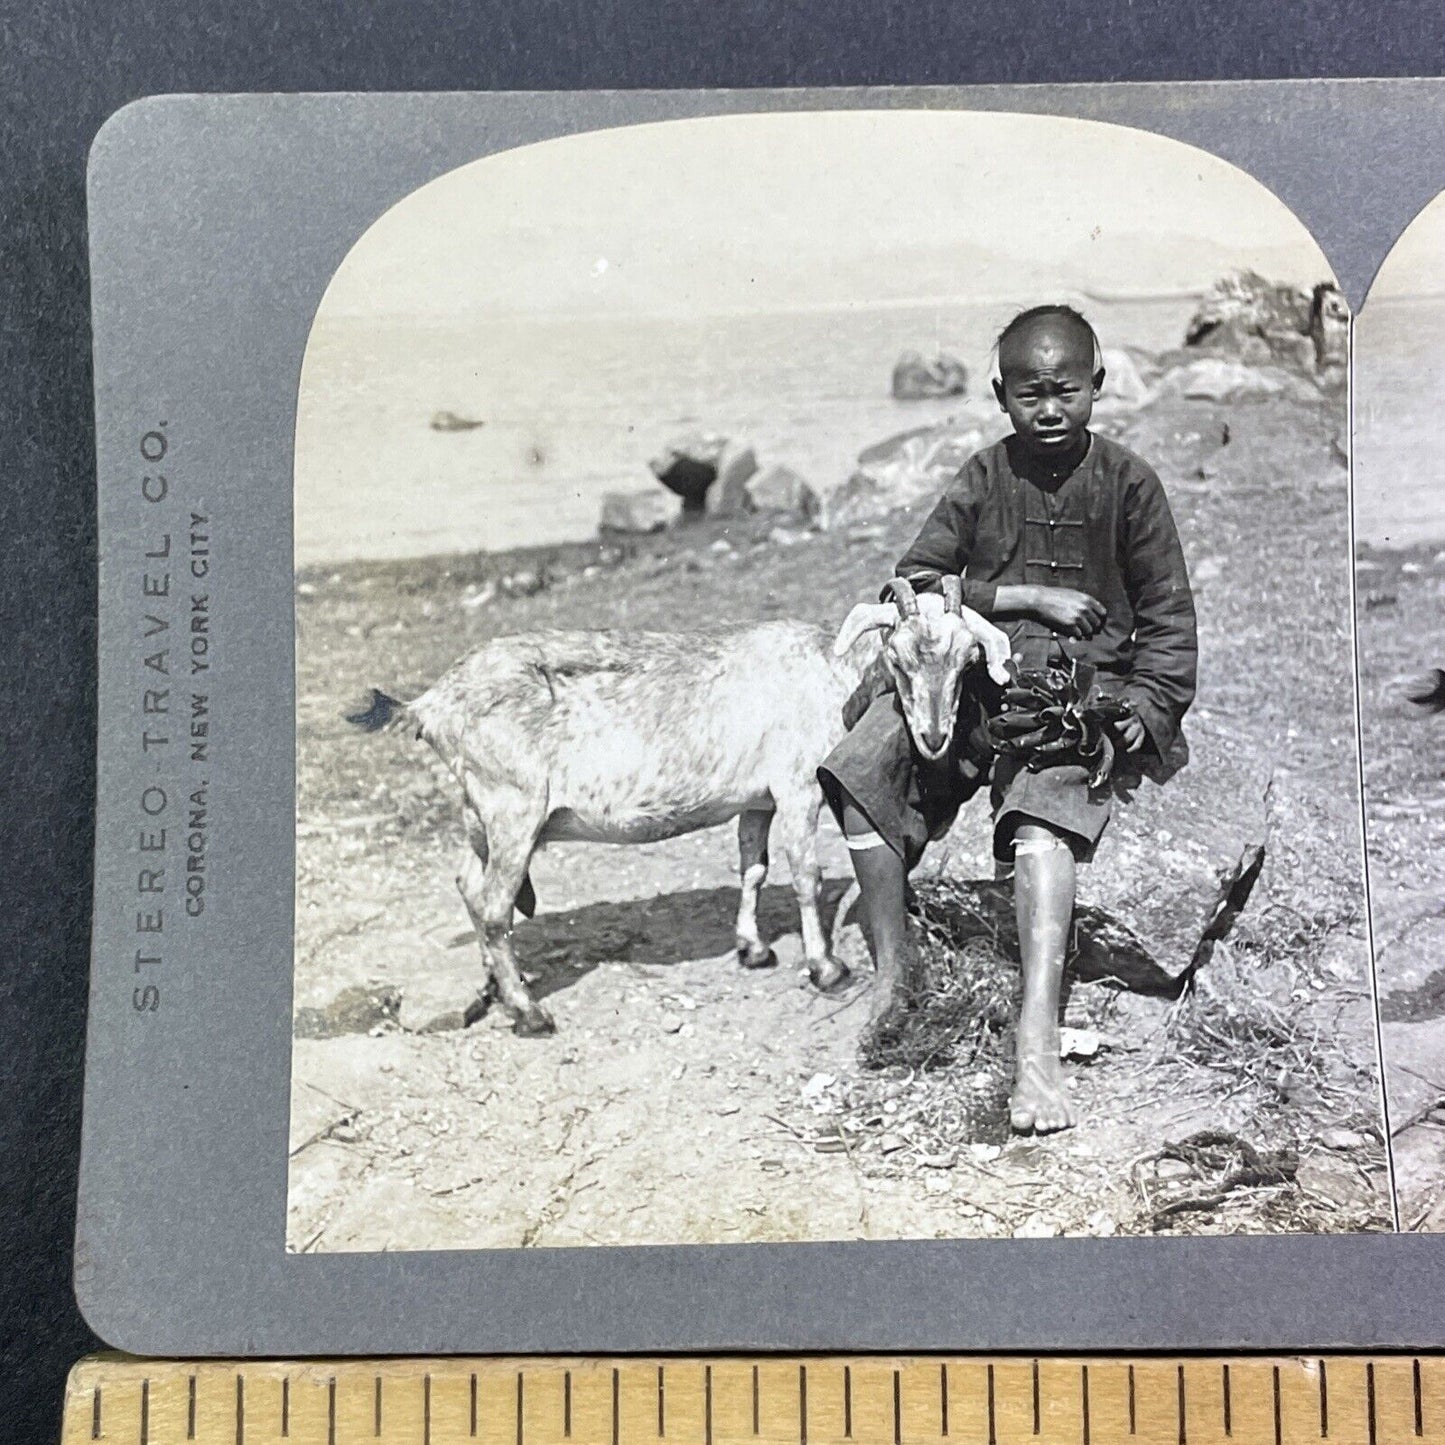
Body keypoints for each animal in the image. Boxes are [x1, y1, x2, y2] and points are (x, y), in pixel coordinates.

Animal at [346, 575, 1017, 1040]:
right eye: (899, 658)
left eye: (968, 660)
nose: (933, 736)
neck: (830, 674)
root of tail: (432, 703)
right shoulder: (797, 787)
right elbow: (805, 875)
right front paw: (825, 967)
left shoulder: (758, 800)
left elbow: (753, 867)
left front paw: (753, 949)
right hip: (513, 807)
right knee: (490, 904)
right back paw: (529, 1012)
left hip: (477, 810)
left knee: (469, 884)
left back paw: (496, 984)